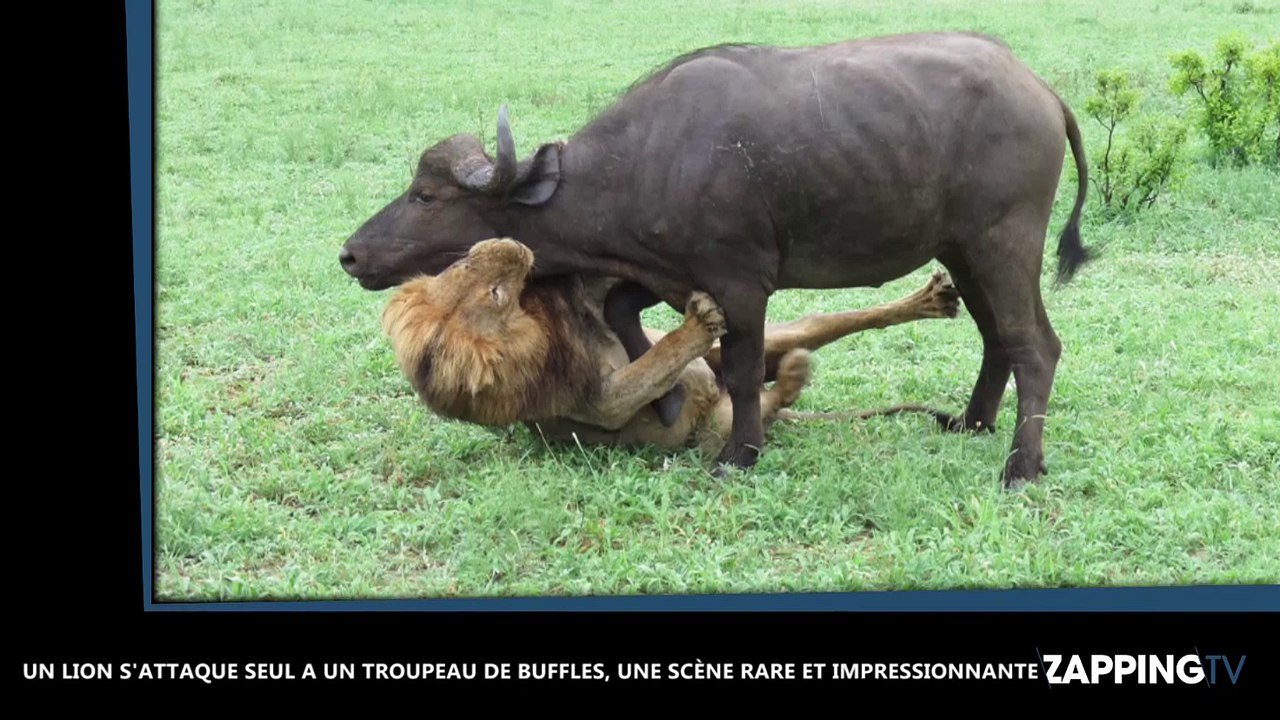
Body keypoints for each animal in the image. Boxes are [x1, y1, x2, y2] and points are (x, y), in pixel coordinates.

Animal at [380, 238, 961, 461]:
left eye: (461, 264)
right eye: (496, 295)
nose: (515, 244)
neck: (538, 323)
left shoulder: (585, 293)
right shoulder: (600, 402)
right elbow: (648, 371)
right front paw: (700, 319)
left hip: (779, 334)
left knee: (824, 324)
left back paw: (933, 299)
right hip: (716, 430)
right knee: (765, 406)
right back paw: (790, 378)